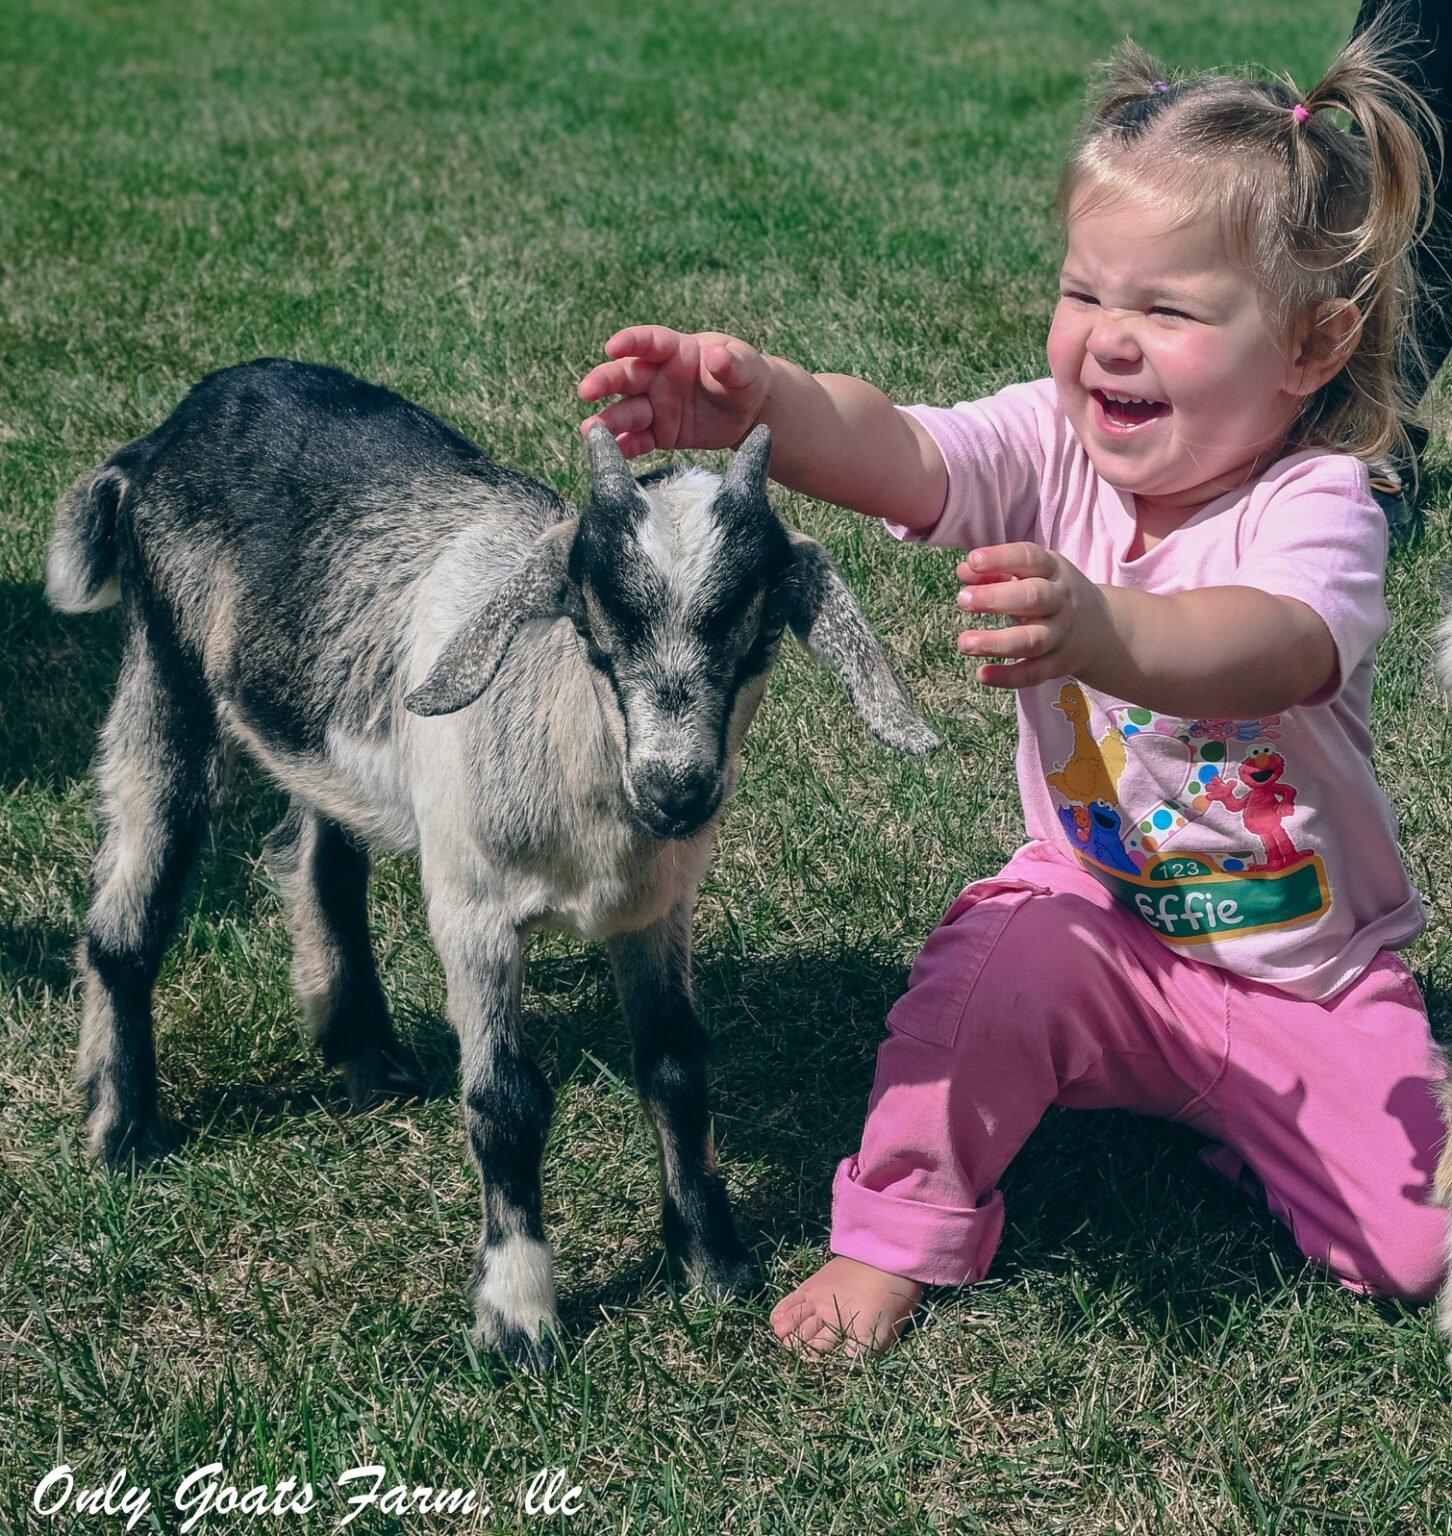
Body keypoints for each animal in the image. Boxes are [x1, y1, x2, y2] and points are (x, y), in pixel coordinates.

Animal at [45, 357, 939, 1368]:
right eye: (594, 620)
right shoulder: (472, 914)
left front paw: (713, 1262)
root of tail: (165, 434)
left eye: (755, 629)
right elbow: (506, 1102)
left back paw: (366, 1054)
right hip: (168, 675)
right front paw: (518, 1317)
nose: (675, 793)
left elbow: (675, 1066)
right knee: (131, 907)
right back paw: (123, 1127)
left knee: (318, 863)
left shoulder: (654, 910)